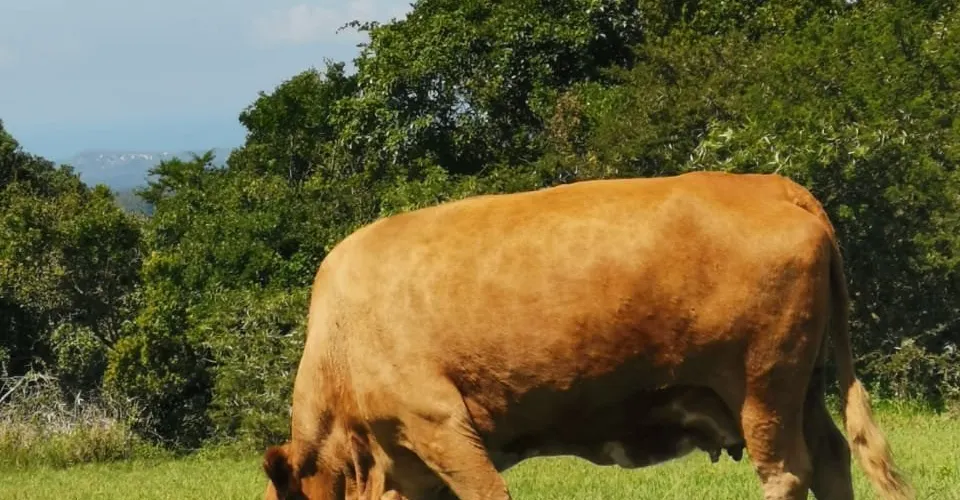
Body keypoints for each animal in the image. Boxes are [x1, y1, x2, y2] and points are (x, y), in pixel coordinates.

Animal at [262, 171, 913, 500]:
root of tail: (769, 184)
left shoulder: (437, 423)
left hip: (761, 386)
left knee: (786, 470)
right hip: (800, 385)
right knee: (831, 457)